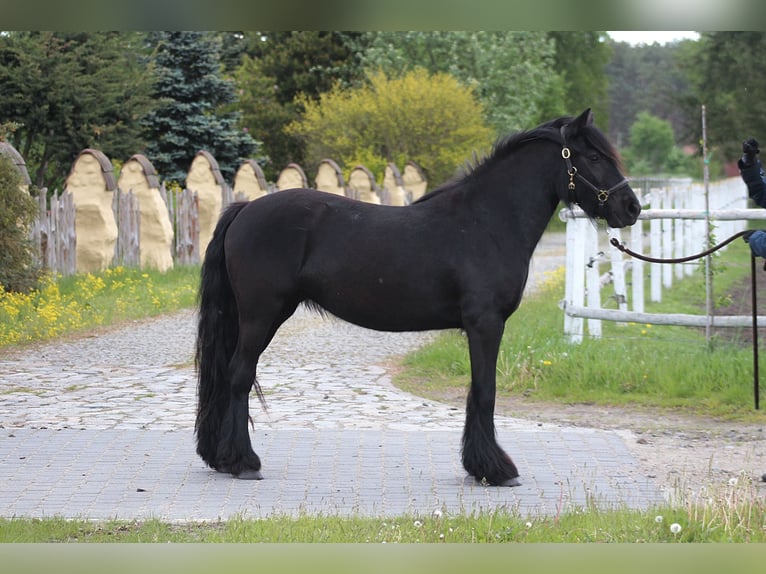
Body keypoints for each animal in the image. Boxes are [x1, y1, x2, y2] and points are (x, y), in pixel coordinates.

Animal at [194, 108, 641, 487]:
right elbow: (485, 391)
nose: (631, 207)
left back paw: (222, 458)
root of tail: (245, 209)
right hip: (262, 316)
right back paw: (242, 462)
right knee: (239, 376)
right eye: (594, 156)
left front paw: (480, 466)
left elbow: (477, 390)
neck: (486, 222)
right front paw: (496, 470)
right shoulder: (485, 324)